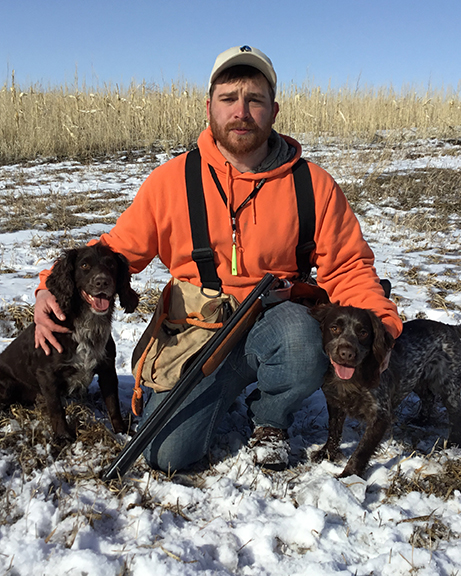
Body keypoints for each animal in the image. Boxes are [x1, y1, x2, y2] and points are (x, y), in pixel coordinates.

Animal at [0, 243, 138, 440]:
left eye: (111, 264)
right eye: (84, 265)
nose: (102, 282)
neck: (87, 325)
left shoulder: (107, 369)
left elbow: (113, 404)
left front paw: (122, 432)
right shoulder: (46, 374)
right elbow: (56, 409)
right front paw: (64, 437)